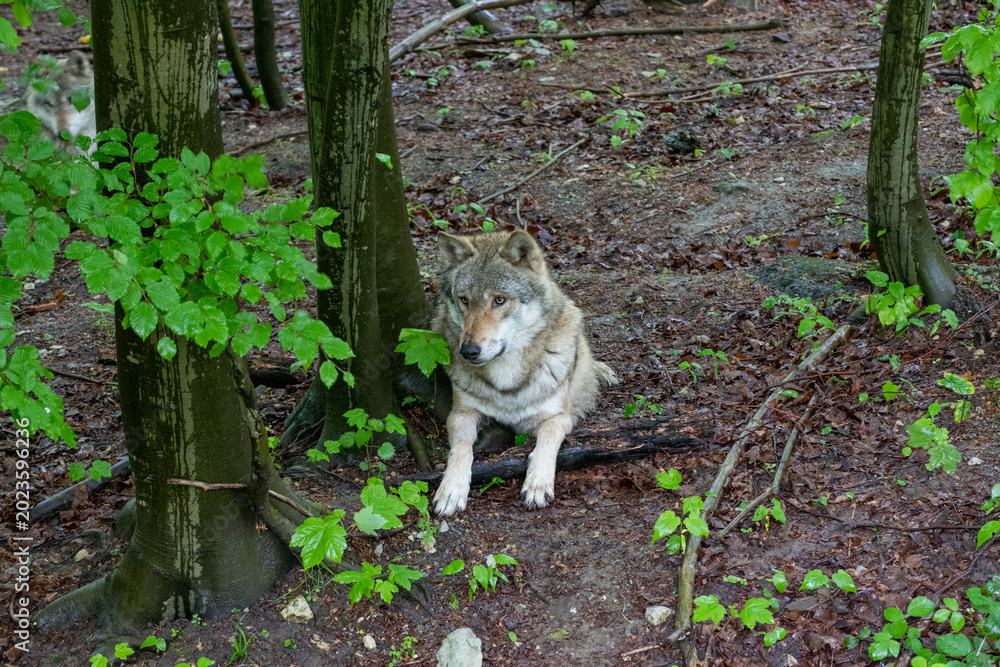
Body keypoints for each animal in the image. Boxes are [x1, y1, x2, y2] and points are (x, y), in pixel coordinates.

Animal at [431, 230, 618, 516]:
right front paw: (451, 488)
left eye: (499, 300)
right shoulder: (461, 414)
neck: (507, 382)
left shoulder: (559, 417)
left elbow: (548, 435)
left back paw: (602, 371)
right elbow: (461, 448)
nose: (468, 351)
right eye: (464, 300)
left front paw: (538, 482)